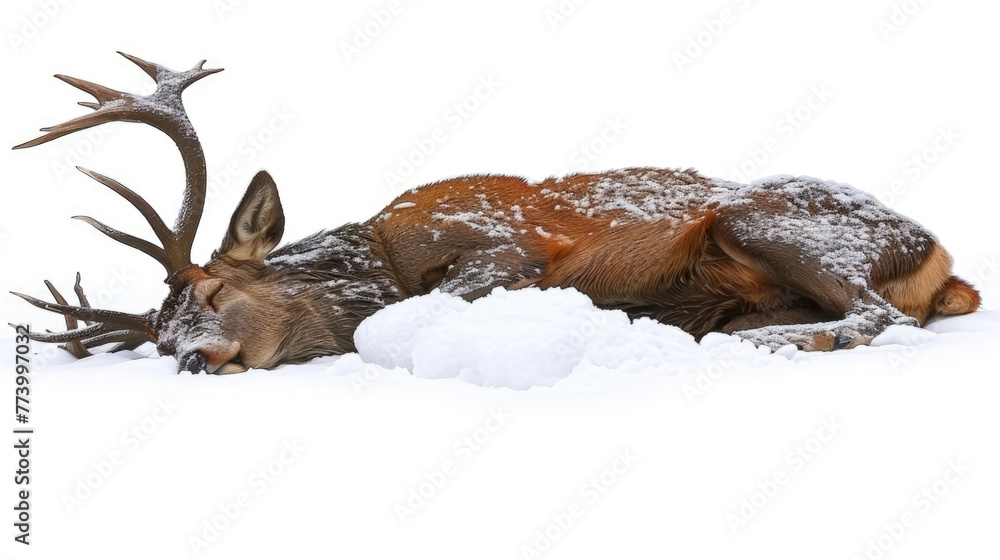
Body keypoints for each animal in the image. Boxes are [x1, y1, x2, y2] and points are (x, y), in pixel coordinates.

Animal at [12, 53, 981, 374]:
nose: (193, 360)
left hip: (774, 220)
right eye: (160, 338)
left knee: (882, 314)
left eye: (212, 294)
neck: (381, 255)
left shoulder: (508, 245)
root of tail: (947, 264)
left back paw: (781, 341)